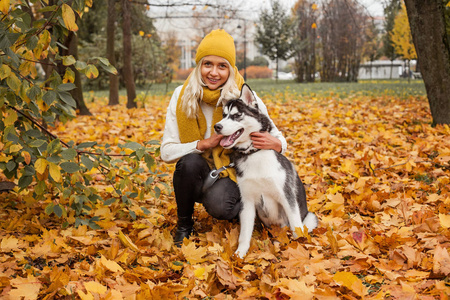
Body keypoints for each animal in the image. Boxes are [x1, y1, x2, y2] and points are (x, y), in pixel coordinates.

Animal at [215, 84, 318, 258]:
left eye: (237, 115)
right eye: (223, 116)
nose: (217, 127)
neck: (253, 153)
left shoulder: (287, 196)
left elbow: (296, 227)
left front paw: (300, 247)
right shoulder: (247, 201)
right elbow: (244, 235)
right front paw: (239, 255)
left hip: (309, 217)